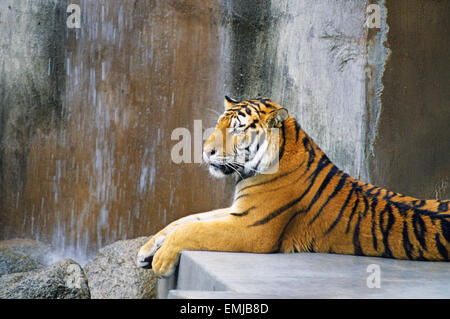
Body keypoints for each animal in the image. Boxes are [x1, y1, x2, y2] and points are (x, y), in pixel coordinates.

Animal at [137, 95, 450, 278]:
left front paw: (161, 261)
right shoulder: (238, 210)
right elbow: (187, 220)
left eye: (237, 129)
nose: (205, 152)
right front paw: (146, 249)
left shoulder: (252, 227)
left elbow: (194, 229)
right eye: (219, 124)